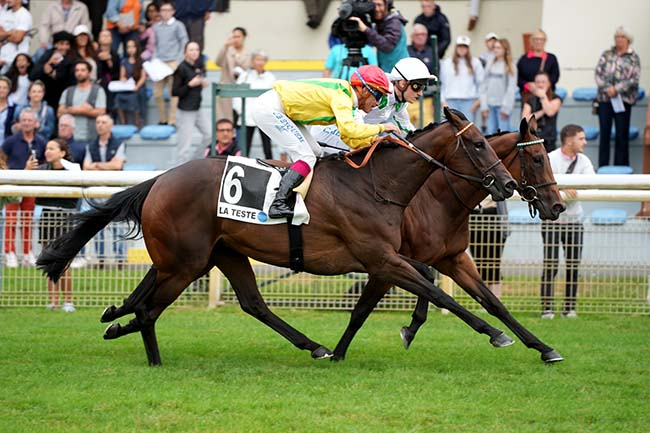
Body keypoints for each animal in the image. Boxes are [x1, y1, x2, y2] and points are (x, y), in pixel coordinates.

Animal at [36, 108, 516, 364]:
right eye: (477, 144)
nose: (508, 184)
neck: (376, 183)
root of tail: (158, 180)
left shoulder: (387, 259)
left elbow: (431, 289)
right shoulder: (381, 257)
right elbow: (439, 292)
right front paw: (495, 333)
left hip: (215, 254)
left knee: (248, 303)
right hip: (185, 263)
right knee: (150, 309)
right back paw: (151, 356)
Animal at [332, 116, 564, 362]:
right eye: (538, 159)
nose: (558, 206)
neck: (437, 200)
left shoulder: (453, 259)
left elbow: (493, 303)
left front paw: (544, 348)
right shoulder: (384, 265)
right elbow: (363, 310)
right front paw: (338, 353)